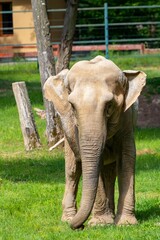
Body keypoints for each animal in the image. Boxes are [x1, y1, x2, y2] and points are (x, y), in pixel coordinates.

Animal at [43, 55, 146, 230]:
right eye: (72, 106)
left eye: (109, 106)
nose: (80, 226)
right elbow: (91, 163)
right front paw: (100, 223)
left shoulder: (126, 119)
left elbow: (127, 159)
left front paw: (125, 224)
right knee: (72, 171)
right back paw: (68, 218)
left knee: (109, 173)